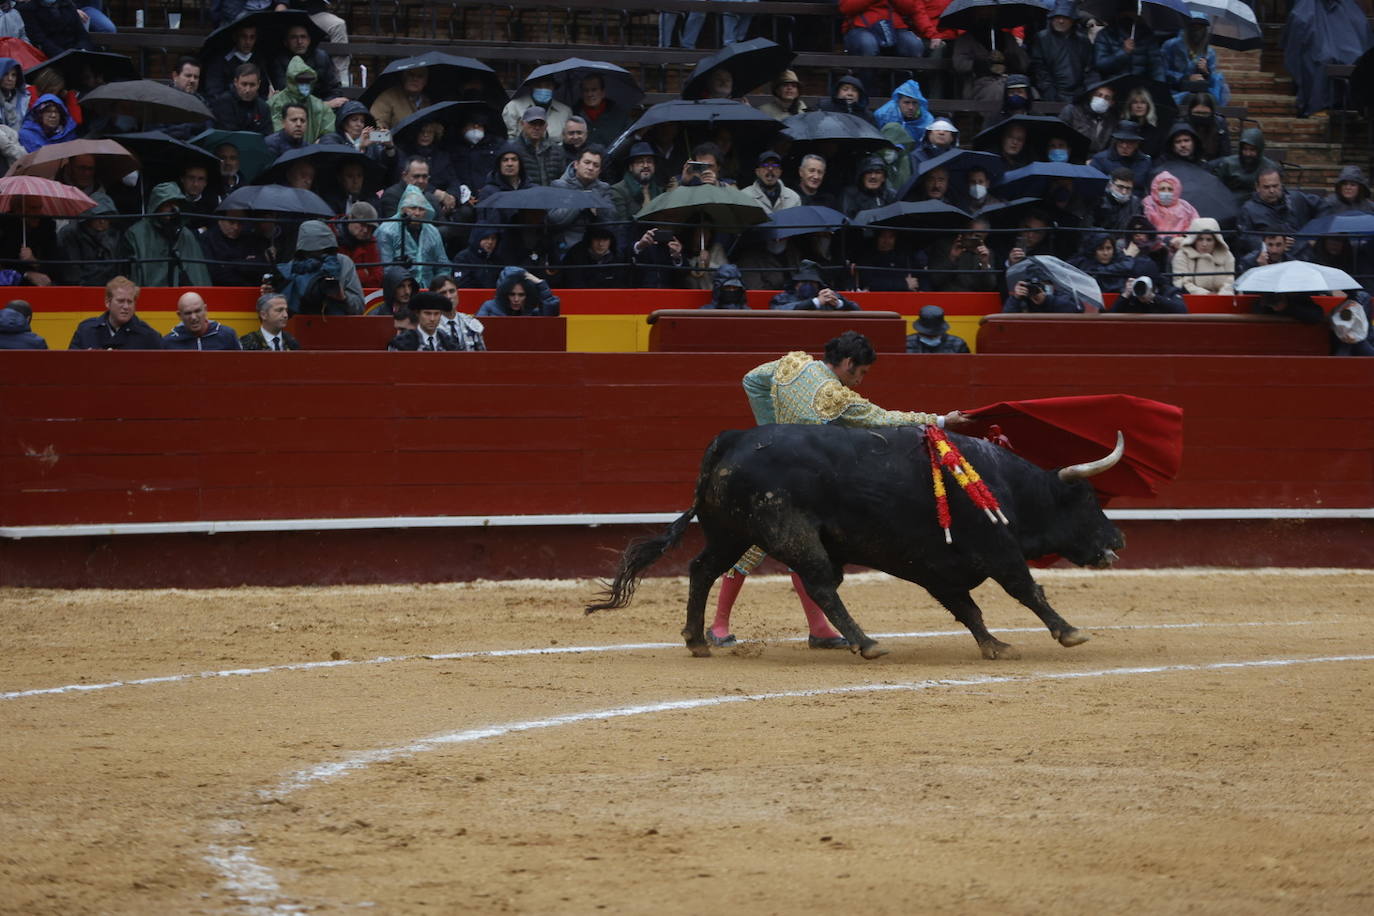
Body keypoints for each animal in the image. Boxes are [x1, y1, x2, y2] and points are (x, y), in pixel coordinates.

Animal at [590, 422, 1126, 659]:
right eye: (1087, 500)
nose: (1117, 537)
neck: (1007, 487)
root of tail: (731, 440)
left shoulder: (938, 568)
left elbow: (968, 608)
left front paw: (993, 645)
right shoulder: (998, 550)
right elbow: (1026, 589)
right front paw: (1069, 632)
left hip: (730, 531)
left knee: (703, 569)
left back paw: (698, 640)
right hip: (789, 530)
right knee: (821, 585)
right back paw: (865, 643)